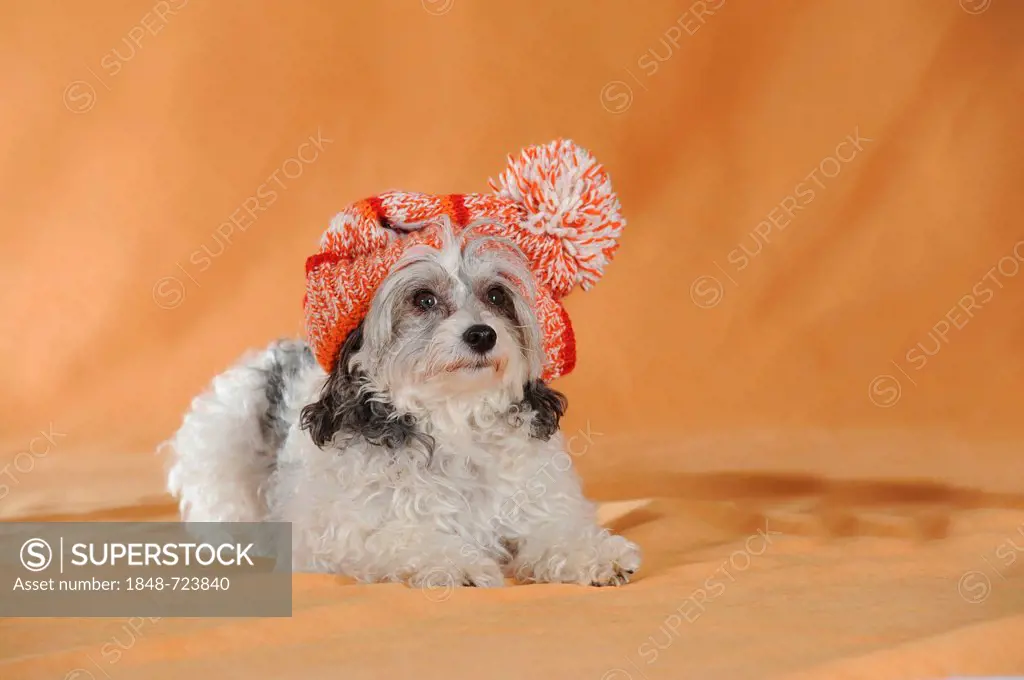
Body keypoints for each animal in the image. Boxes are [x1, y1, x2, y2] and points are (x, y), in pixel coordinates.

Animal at [166, 229, 638, 589]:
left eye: (496, 295)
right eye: (423, 299)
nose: (482, 334)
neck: (455, 421)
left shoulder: (541, 506)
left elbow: (558, 531)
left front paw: (596, 554)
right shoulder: (338, 534)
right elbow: (405, 538)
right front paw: (458, 562)